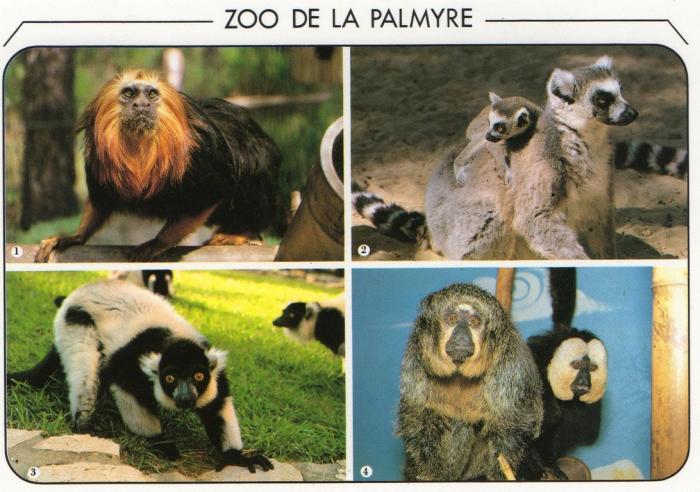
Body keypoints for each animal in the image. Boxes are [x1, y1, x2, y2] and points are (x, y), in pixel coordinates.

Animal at [7, 280, 273, 473]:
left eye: (198, 376)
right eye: (170, 379)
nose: (185, 398)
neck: (168, 339)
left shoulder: (215, 377)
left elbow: (216, 406)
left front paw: (234, 457)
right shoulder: (129, 368)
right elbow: (126, 391)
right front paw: (162, 443)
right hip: (75, 321)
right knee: (86, 376)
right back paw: (83, 425)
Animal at [35, 69, 283, 262]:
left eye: (152, 94)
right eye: (129, 93)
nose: (142, 104)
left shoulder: (203, 153)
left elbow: (209, 196)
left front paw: (158, 242)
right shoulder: (98, 154)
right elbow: (101, 201)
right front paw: (75, 236)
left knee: (252, 166)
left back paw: (245, 232)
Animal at [396, 283, 544, 480]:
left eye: (474, 322)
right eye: (452, 319)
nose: (461, 336)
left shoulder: (511, 364)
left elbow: (512, 426)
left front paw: (501, 475)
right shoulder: (415, 357)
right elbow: (418, 419)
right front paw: (428, 475)